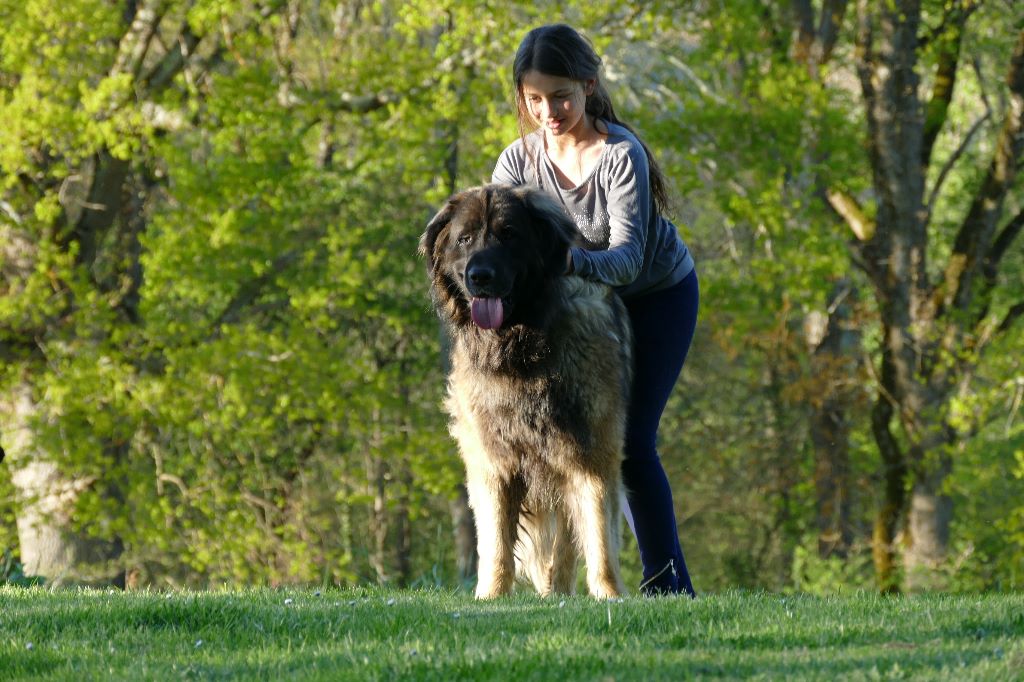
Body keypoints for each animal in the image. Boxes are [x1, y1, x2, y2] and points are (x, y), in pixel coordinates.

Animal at [417, 182, 630, 593]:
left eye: (509, 235)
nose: (480, 276)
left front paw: (610, 593)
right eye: (464, 239)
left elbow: (598, 533)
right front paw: (492, 594)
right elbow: (497, 540)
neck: (521, 347)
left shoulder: (592, 451)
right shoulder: (493, 459)